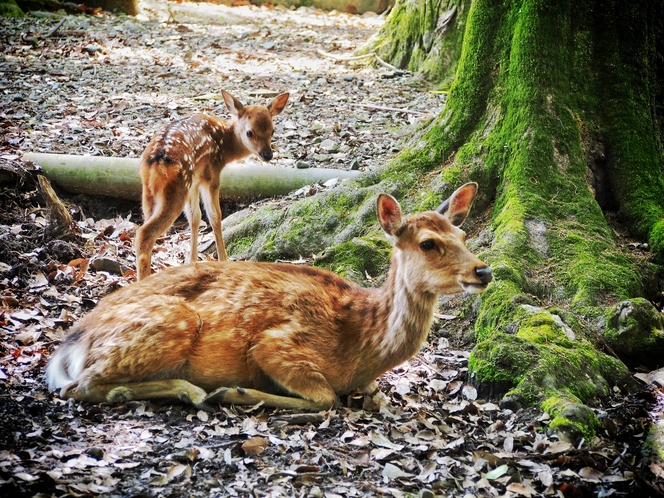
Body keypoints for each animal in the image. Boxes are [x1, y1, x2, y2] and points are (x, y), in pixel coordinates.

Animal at [45, 183, 492, 412]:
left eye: (462, 234)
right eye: (428, 243)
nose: (483, 271)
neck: (363, 348)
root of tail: (70, 342)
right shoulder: (277, 343)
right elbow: (326, 398)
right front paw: (235, 392)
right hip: (171, 321)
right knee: (79, 386)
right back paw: (194, 392)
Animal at [135, 90, 288, 280]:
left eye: (273, 130)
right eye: (249, 132)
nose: (268, 154)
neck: (224, 145)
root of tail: (156, 161)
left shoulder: (193, 182)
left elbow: (195, 217)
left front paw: (191, 261)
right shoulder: (212, 174)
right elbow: (215, 216)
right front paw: (223, 260)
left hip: (150, 190)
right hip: (176, 188)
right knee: (144, 233)